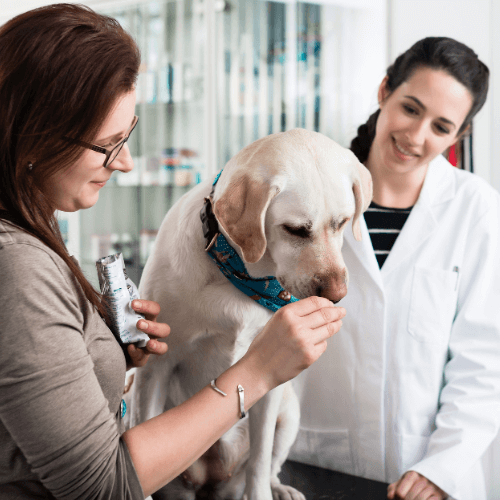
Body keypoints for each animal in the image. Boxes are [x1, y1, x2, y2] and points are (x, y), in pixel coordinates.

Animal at [129, 130, 372, 500]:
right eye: (295, 230)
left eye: (343, 222)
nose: (336, 295)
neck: (241, 274)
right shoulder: (155, 368)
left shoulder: (269, 386)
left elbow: (259, 460)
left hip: (289, 412)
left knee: (268, 464)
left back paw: (279, 488)